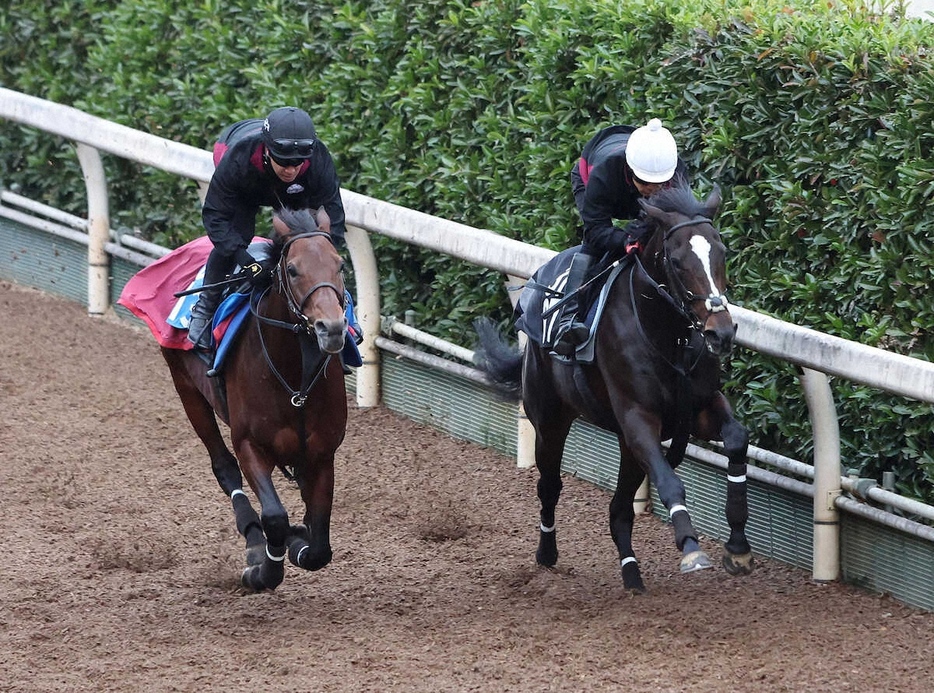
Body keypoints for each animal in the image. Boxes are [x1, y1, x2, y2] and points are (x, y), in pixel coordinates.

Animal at [163, 205, 350, 588]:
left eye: (339, 265)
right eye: (292, 270)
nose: (332, 328)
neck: (294, 379)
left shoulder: (322, 453)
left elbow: (320, 544)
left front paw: (301, 542)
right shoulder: (249, 443)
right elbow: (275, 516)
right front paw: (264, 570)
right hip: (186, 387)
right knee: (224, 467)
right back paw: (253, 538)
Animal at [478, 182, 756, 588]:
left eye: (721, 253)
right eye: (676, 261)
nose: (720, 333)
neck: (667, 336)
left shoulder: (698, 407)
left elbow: (737, 439)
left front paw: (737, 547)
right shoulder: (638, 418)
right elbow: (670, 483)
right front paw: (691, 547)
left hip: (625, 445)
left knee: (619, 509)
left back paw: (632, 573)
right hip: (550, 419)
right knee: (550, 485)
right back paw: (547, 553)